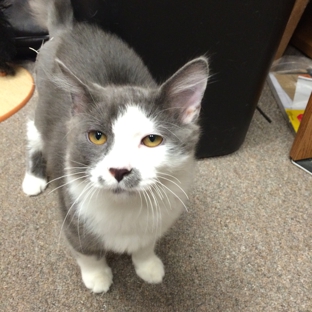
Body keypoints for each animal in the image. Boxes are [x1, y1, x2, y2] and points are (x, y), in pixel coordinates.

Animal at [22, 0, 210, 292]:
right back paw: (33, 178)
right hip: (42, 109)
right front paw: (97, 277)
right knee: (33, 129)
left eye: (152, 140)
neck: (125, 208)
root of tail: (69, 28)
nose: (119, 171)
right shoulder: (72, 213)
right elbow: (86, 251)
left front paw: (148, 266)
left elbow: (145, 244)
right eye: (97, 136)